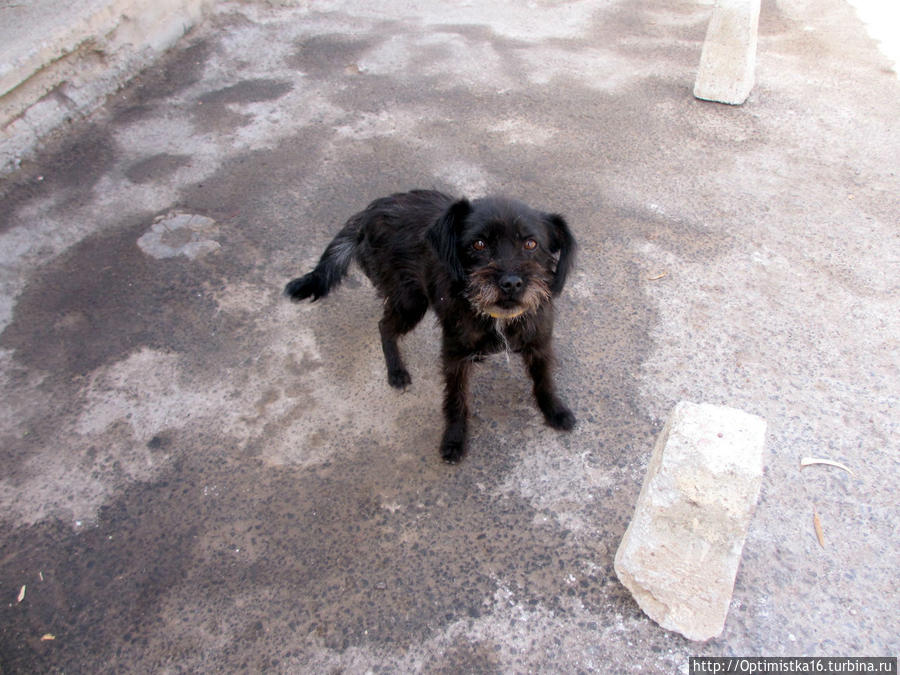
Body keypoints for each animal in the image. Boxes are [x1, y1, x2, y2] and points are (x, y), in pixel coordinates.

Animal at [284, 190, 576, 464]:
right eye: (479, 244)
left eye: (531, 243)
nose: (511, 283)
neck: (497, 316)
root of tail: (368, 213)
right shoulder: (454, 356)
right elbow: (456, 399)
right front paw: (454, 438)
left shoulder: (539, 342)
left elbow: (544, 379)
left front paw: (554, 410)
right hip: (410, 301)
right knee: (384, 326)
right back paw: (396, 371)